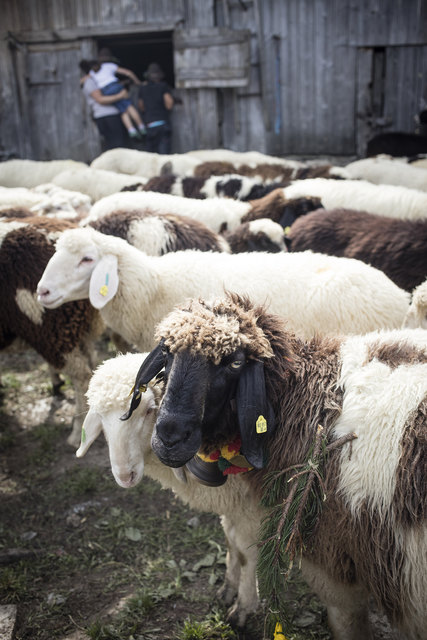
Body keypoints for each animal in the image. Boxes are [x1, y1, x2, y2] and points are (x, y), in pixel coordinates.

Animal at [76, 351, 264, 626]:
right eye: (100, 417)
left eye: (148, 411)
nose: (125, 476)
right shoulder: (233, 502)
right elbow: (230, 541)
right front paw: (228, 589)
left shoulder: (250, 505)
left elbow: (245, 553)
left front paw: (244, 606)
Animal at [124, 292, 427, 640]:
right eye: (167, 353)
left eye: (235, 362)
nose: (170, 437)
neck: (307, 397)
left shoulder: (333, 565)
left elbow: (346, 623)